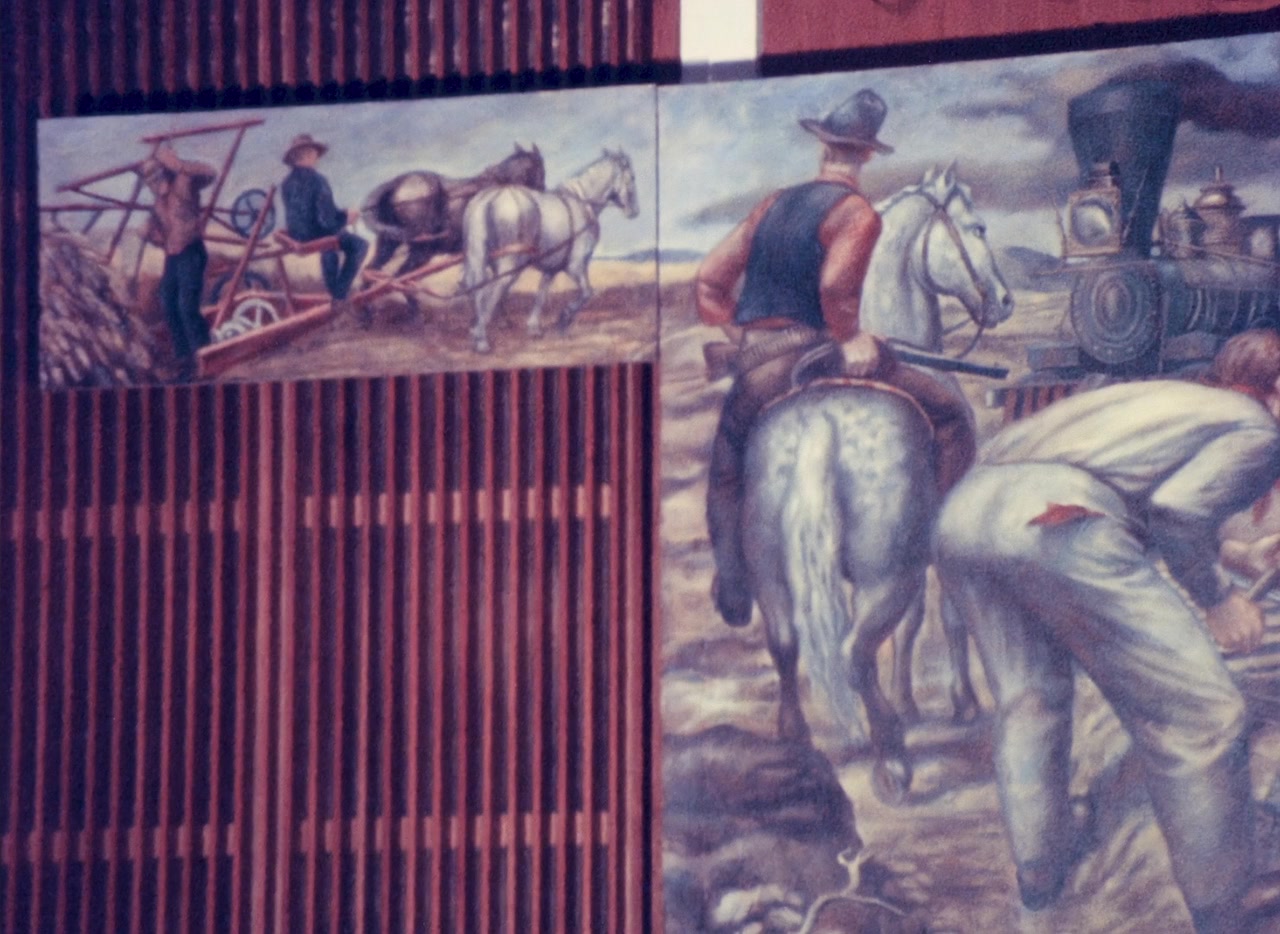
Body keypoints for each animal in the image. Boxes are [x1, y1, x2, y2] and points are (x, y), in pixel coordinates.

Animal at [361, 144, 546, 281]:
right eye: (541, 170)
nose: (543, 191)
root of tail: (396, 184)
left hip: (390, 244)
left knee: (372, 275)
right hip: (420, 252)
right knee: (399, 279)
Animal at [460, 148, 638, 353]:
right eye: (632, 177)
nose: (635, 211)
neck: (582, 203)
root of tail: (490, 197)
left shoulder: (550, 269)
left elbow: (541, 295)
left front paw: (534, 328)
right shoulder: (576, 266)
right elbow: (587, 292)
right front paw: (564, 319)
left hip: (480, 257)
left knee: (476, 288)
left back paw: (477, 329)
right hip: (509, 264)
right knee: (492, 291)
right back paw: (481, 338)